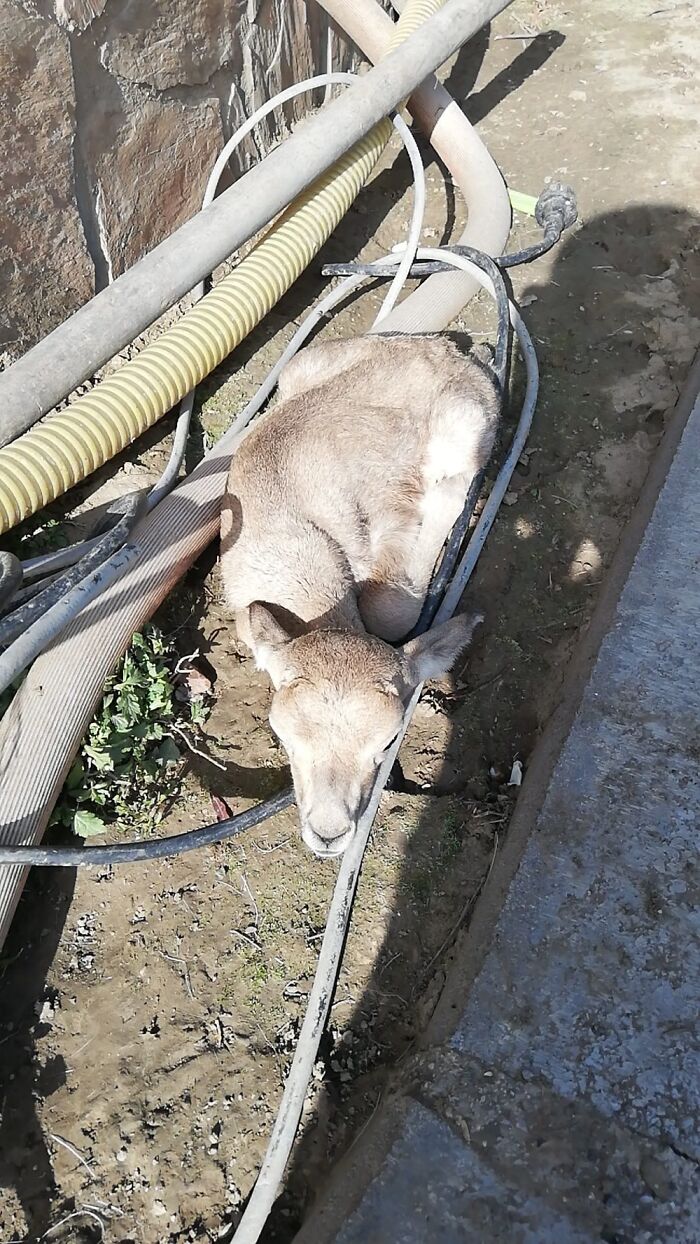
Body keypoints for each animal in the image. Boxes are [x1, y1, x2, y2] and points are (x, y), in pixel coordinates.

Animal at [220, 333, 499, 858]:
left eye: (389, 741)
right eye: (283, 735)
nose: (329, 834)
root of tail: (446, 349)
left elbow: (391, 611)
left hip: (468, 425)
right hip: (299, 369)